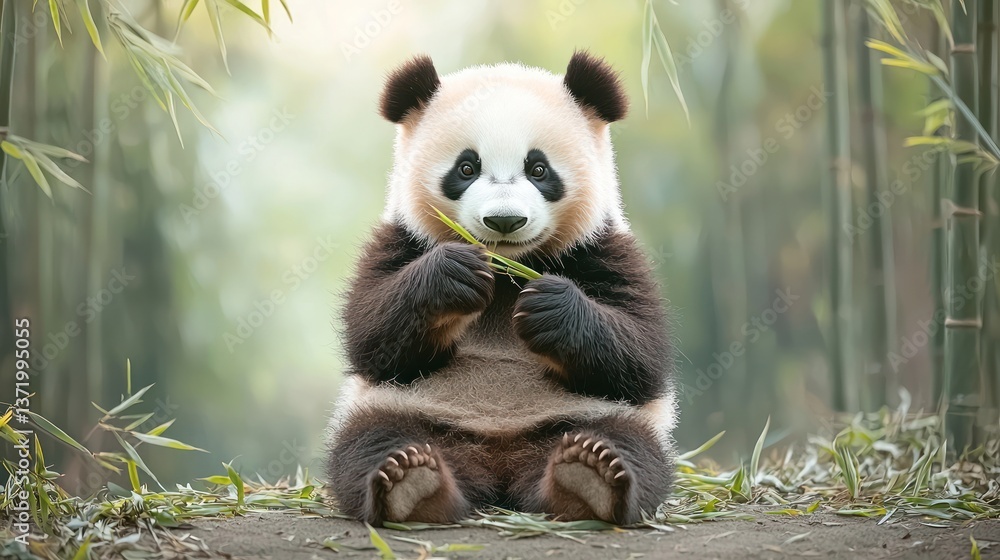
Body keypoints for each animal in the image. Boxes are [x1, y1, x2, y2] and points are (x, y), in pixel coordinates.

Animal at [327, 51, 677, 526]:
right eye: (466, 168)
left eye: (539, 169)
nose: (504, 221)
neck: (509, 268)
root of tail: (500, 458)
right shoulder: (401, 240)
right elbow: (372, 338)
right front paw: (451, 276)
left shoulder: (605, 248)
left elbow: (641, 355)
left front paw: (550, 309)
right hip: (412, 409)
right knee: (368, 442)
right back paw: (413, 483)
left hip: (577, 416)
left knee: (632, 444)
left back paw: (588, 478)